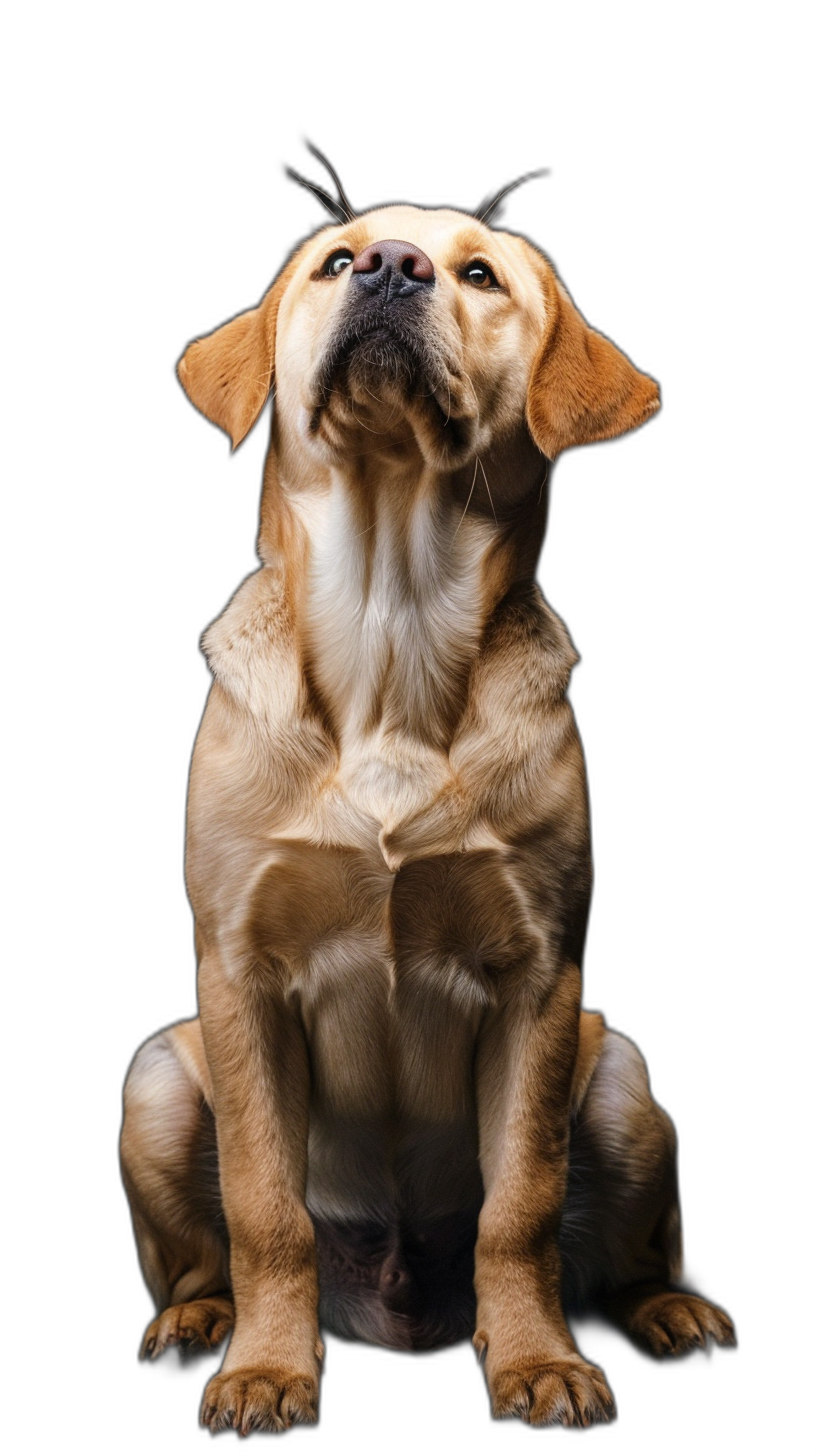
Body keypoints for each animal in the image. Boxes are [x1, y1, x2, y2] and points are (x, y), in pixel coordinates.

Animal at [119, 202, 734, 1432]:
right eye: (334, 260)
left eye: (481, 275)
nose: (392, 268)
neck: (389, 638)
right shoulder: (239, 974)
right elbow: (264, 1206)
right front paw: (266, 1371)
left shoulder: (541, 978)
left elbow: (523, 1205)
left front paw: (540, 1361)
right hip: (156, 1077)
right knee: (212, 1252)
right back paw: (202, 1322)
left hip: (627, 1083)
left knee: (625, 1256)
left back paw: (664, 1312)